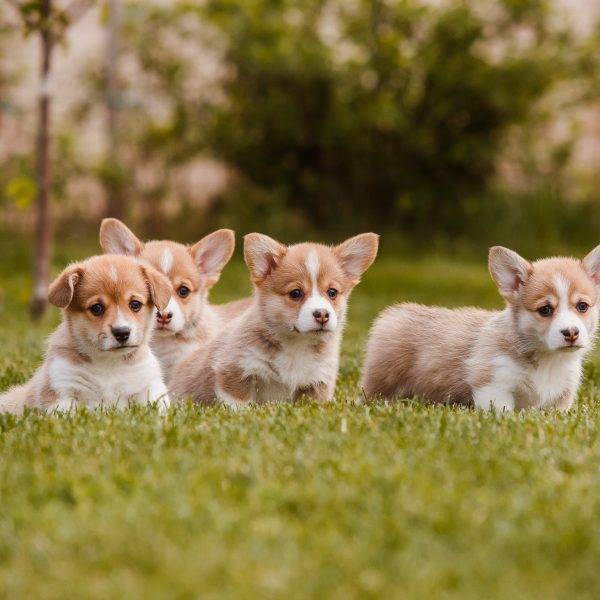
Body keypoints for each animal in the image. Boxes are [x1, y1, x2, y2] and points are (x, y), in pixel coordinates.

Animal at [0, 255, 173, 414]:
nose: (122, 332)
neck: (109, 363)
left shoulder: (149, 386)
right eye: (97, 308)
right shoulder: (62, 389)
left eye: (135, 304)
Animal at [169, 232, 378, 406]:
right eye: (296, 293)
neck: (296, 344)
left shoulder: (317, 383)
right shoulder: (234, 371)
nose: (322, 314)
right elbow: (238, 406)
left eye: (332, 292)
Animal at [360, 246, 600, 410]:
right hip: (382, 379)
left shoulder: (561, 397)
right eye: (545, 310)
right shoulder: (492, 382)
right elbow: (503, 412)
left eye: (582, 306)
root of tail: (394, 312)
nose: (571, 333)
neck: (548, 361)